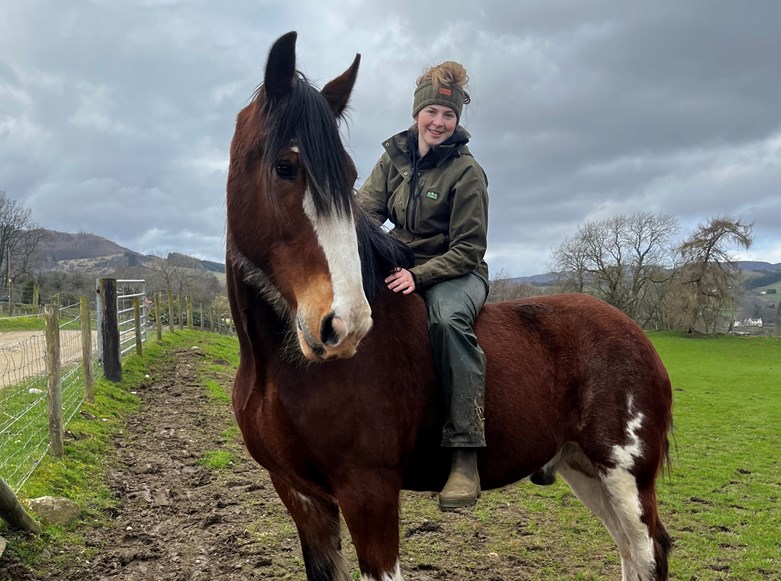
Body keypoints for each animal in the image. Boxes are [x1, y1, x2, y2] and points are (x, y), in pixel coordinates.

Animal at [224, 31, 672, 580]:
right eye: (284, 167)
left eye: (347, 174)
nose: (346, 324)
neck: (280, 368)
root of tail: (636, 335)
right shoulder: (300, 496)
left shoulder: (368, 492)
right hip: (582, 468)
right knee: (631, 553)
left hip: (624, 475)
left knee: (648, 551)